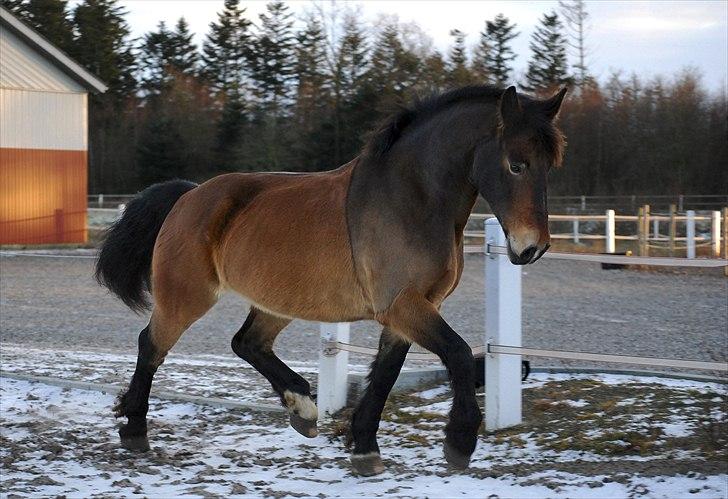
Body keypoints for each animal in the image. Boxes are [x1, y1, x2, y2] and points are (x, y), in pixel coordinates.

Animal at [95, 86, 568, 476]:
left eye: (551, 165)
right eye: (516, 164)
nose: (533, 247)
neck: (410, 200)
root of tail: (190, 194)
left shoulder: (409, 311)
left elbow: (386, 375)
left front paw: (364, 447)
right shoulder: (403, 305)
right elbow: (458, 354)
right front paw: (459, 441)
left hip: (277, 301)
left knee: (247, 343)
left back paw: (303, 408)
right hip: (187, 297)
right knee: (152, 346)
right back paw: (135, 431)